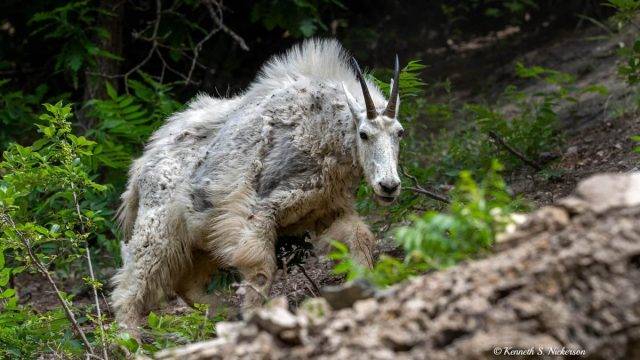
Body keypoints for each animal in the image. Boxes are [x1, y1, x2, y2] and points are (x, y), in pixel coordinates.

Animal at [112, 38, 402, 330]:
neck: (322, 130)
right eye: (364, 134)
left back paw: (223, 312)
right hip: (158, 228)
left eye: (399, 133)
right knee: (131, 282)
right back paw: (129, 335)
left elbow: (360, 238)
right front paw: (255, 316)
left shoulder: (328, 210)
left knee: (187, 284)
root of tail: (141, 166)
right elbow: (260, 269)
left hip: (201, 235)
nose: (389, 186)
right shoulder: (257, 211)